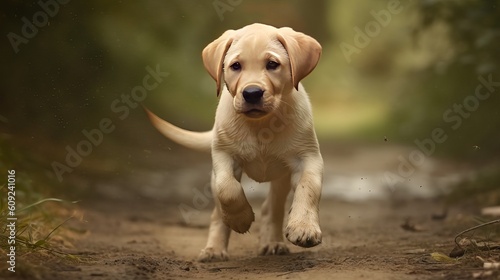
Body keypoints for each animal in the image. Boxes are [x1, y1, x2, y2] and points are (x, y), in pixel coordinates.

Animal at [145, 23, 324, 262]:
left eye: (272, 64)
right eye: (235, 66)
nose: (252, 93)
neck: (260, 126)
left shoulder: (308, 157)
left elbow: (308, 188)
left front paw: (304, 228)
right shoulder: (223, 155)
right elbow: (227, 189)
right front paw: (241, 219)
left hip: (281, 178)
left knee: (272, 208)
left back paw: (272, 243)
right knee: (218, 213)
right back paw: (214, 249)